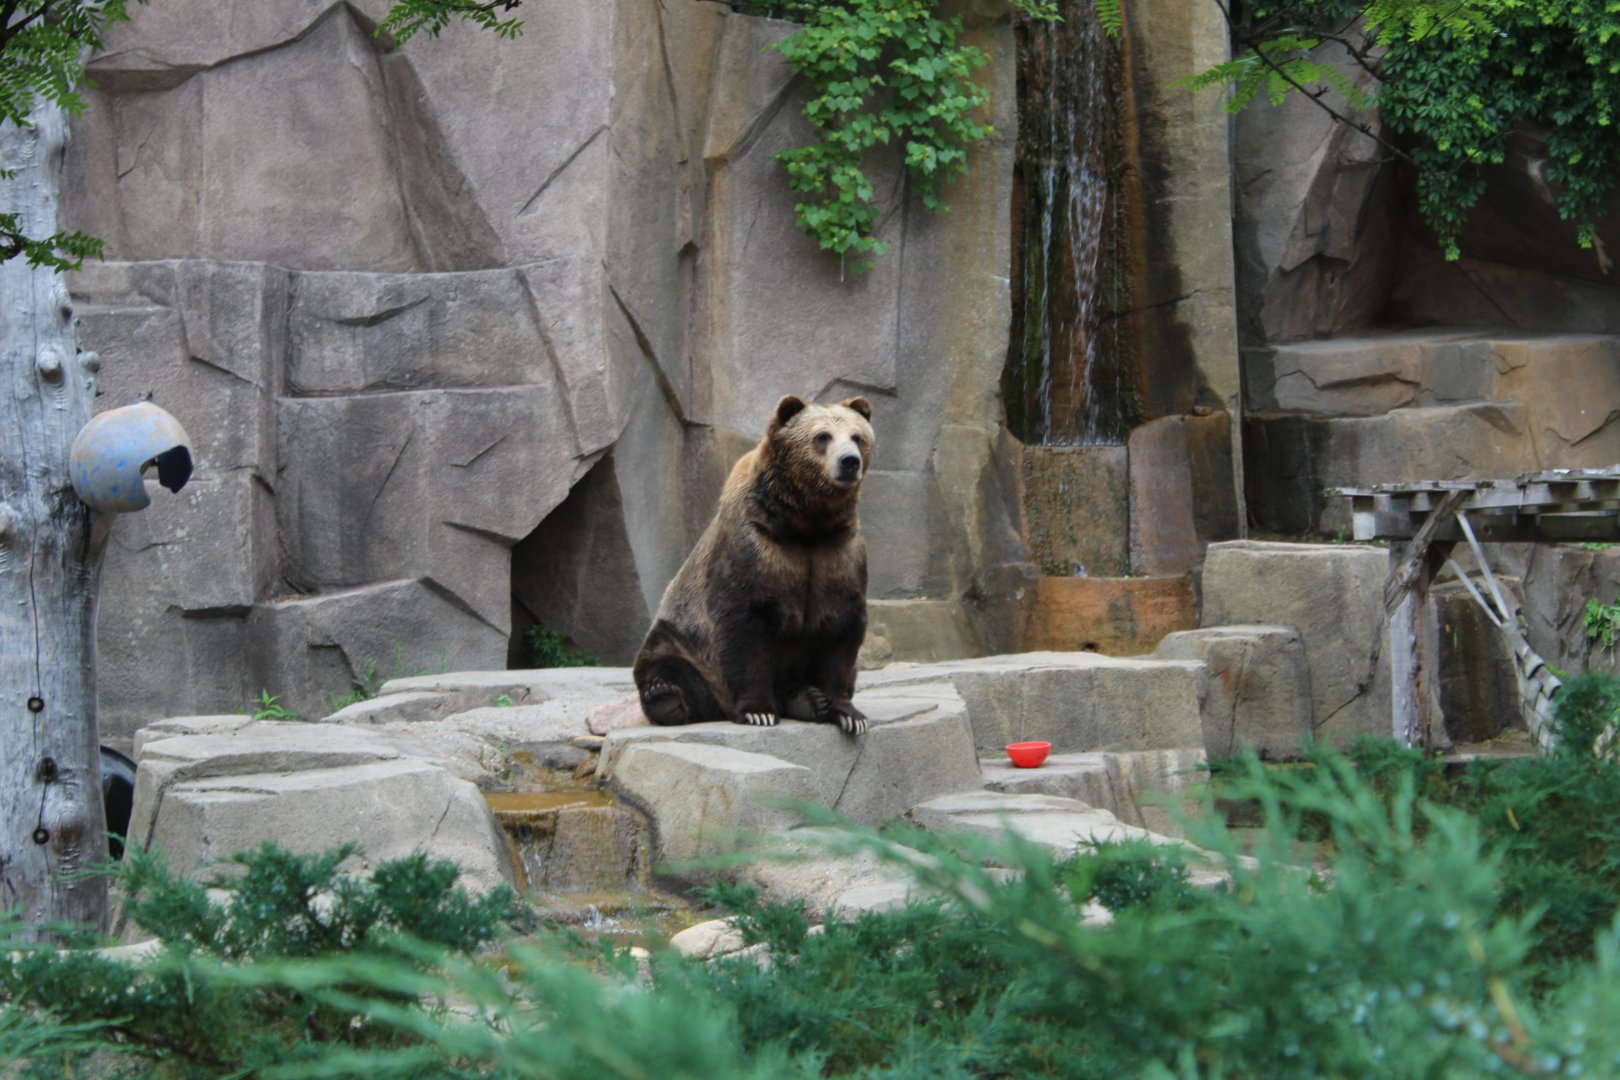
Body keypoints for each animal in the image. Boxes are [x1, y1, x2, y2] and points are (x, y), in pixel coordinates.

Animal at [632, 394, 875, 736]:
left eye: (857, 437)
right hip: (684, 641)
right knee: (669, 666)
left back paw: (808, 699)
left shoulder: (839, 552)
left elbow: (841, 631)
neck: (805, 523)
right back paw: (665, 698)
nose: (849, 461)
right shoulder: (754, 546)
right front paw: (758, 711)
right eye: (822, 437)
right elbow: (744, 626)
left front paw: (849, 715)